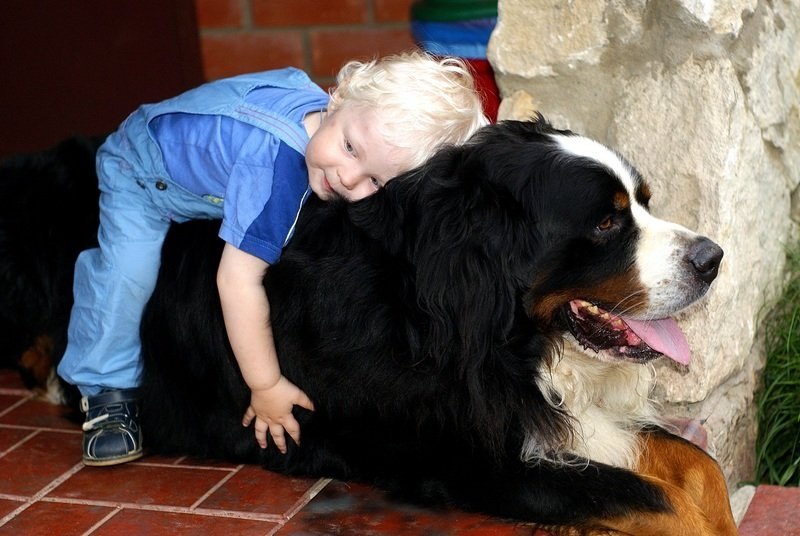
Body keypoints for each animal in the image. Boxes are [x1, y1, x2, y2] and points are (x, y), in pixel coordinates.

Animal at [0, 118, 736, 536]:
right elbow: (663, 500)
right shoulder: (473, 459)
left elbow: (700, 470)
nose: (712, 259)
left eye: (643, 202)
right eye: (607, 223)